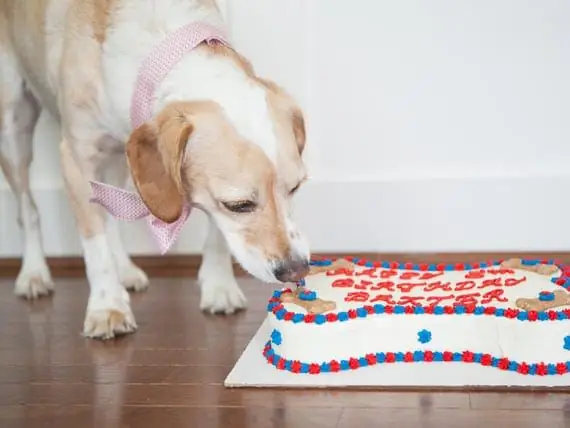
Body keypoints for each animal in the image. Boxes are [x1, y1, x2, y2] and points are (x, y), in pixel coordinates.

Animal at [0, 1, 308, 340]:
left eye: (295, 188)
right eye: (239, 205)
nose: (297, 269)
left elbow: (216, 234)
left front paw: (219, 287)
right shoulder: (77, 159)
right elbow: (95, 245)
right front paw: (107, 306)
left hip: (121, 161)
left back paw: (125, 269)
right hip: (14, 126)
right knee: (28, 209)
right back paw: (34, 273)